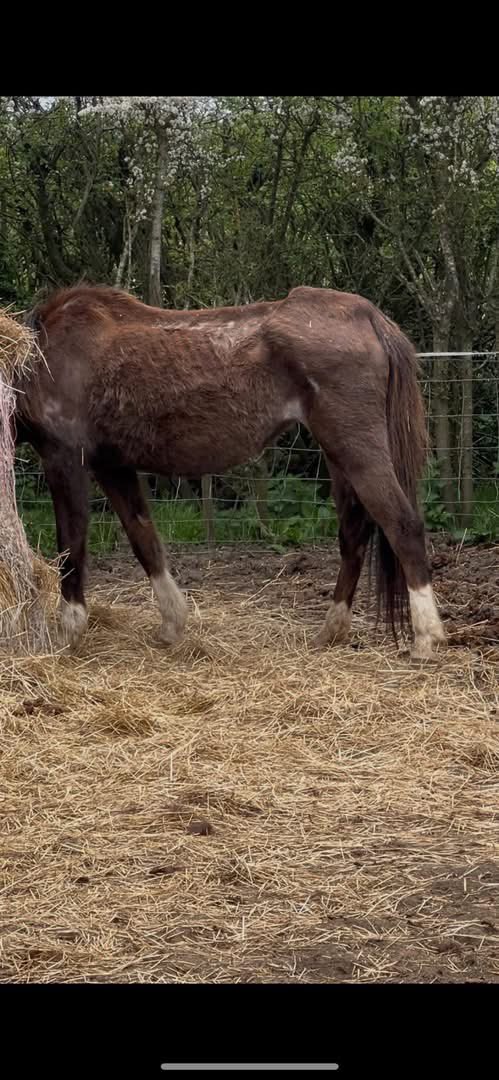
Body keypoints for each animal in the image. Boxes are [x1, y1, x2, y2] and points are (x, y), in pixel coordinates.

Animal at [14, 283, 445, 660]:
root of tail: (368, 315)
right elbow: (144, 540)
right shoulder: (113, 466)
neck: (41, 357)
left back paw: (426, 639)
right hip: (340, 459)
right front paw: (172, 624)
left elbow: (71, 545)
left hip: (356, 449)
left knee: (402, 524)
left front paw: (69, 632)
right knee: (354, 534)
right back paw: (332, 630)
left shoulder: (65, 459)